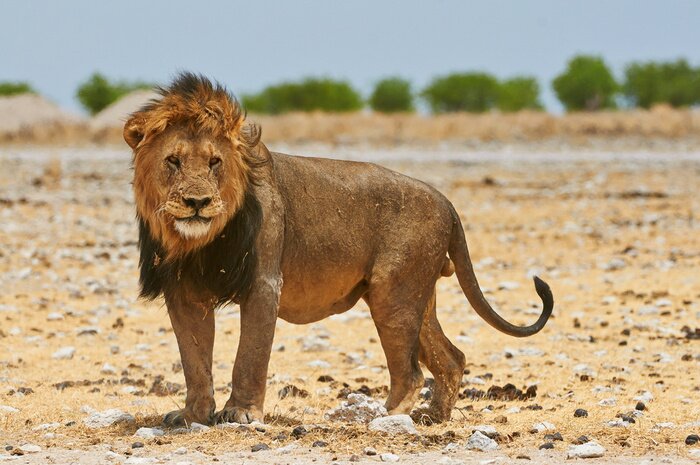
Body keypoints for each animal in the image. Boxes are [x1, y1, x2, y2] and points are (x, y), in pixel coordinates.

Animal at [124, 72, 554, 426]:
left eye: (215, 162)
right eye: (173, 160)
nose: (198, 202)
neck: (198, 243)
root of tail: (445, 201)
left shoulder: (264, 283)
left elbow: (251, 354)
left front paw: (241, 413)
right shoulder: (182, 292)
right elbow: (194, 360)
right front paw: (192, 415)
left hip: (392, 294)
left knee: (411, 371)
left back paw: (384, 416)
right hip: (417, 293)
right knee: (451, 359)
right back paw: (433, 417)